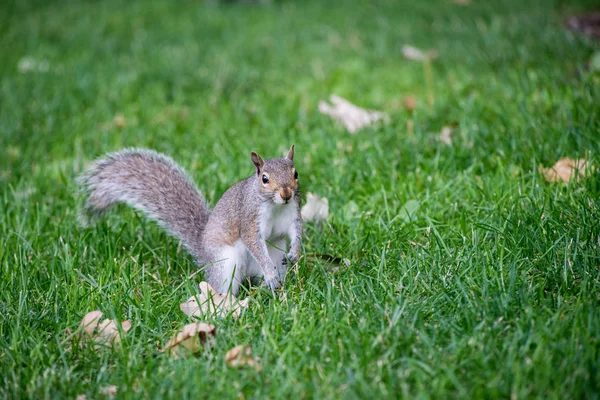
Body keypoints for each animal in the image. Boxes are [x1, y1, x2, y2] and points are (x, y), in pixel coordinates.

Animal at [78, 145, 304, 296]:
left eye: (295, 174)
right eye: (264, 179)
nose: (286, 194)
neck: (276, 206)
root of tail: (204, 252)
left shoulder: (293, 214)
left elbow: (297, 233)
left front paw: (295, 252)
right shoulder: (249, 219)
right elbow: (254, 244)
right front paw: (270, 271)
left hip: (277, 254)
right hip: (225, 264)